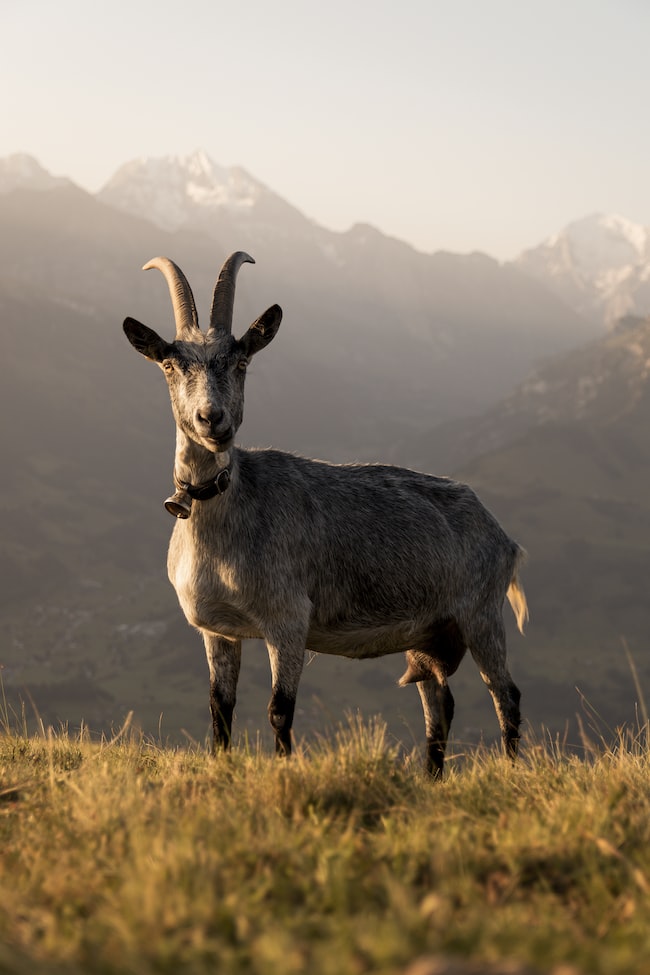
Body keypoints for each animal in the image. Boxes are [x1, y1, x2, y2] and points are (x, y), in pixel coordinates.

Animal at [123, 252, 528, 776]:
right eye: (171, 363)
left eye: (241, 360)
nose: (212, 419)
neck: (226, 519)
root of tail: (503, 538)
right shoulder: (217, 630)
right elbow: (219, 708)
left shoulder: (288, 619)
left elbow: (280, 709)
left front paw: (283, 770)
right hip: (429, 631)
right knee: (440, 705)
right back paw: (432, 778)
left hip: (481, 613)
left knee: (506, 696)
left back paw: (513, 771)